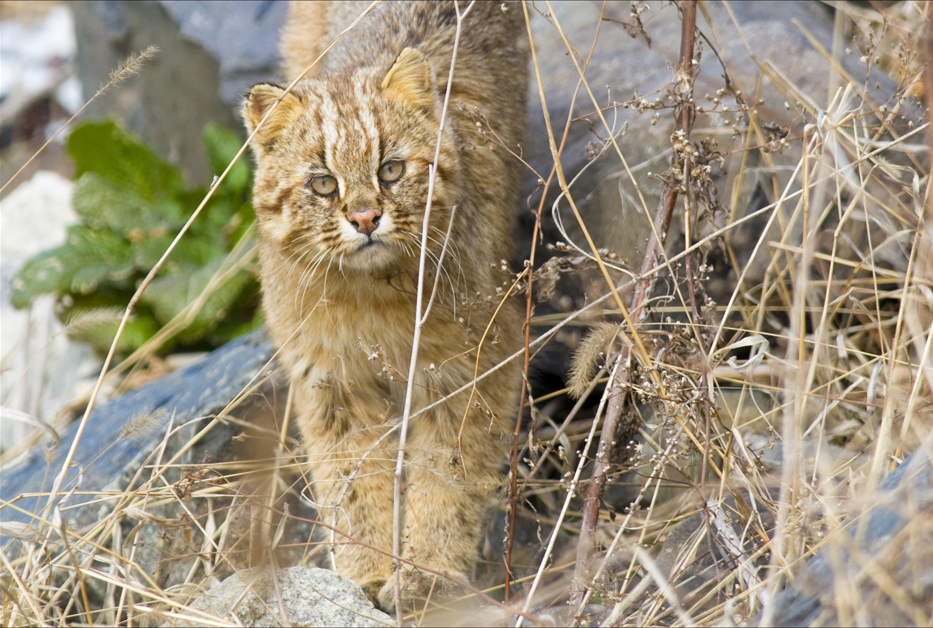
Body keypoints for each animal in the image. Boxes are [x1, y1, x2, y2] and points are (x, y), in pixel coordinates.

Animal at [240, 0, 528, 608]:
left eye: (391, 169)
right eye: (323, 184)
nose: (367, 218)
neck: (370, 296)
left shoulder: (472, 365)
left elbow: (449, 475)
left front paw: (428, 575)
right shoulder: (330, 377)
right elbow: (350, 481)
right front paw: (367, 573)